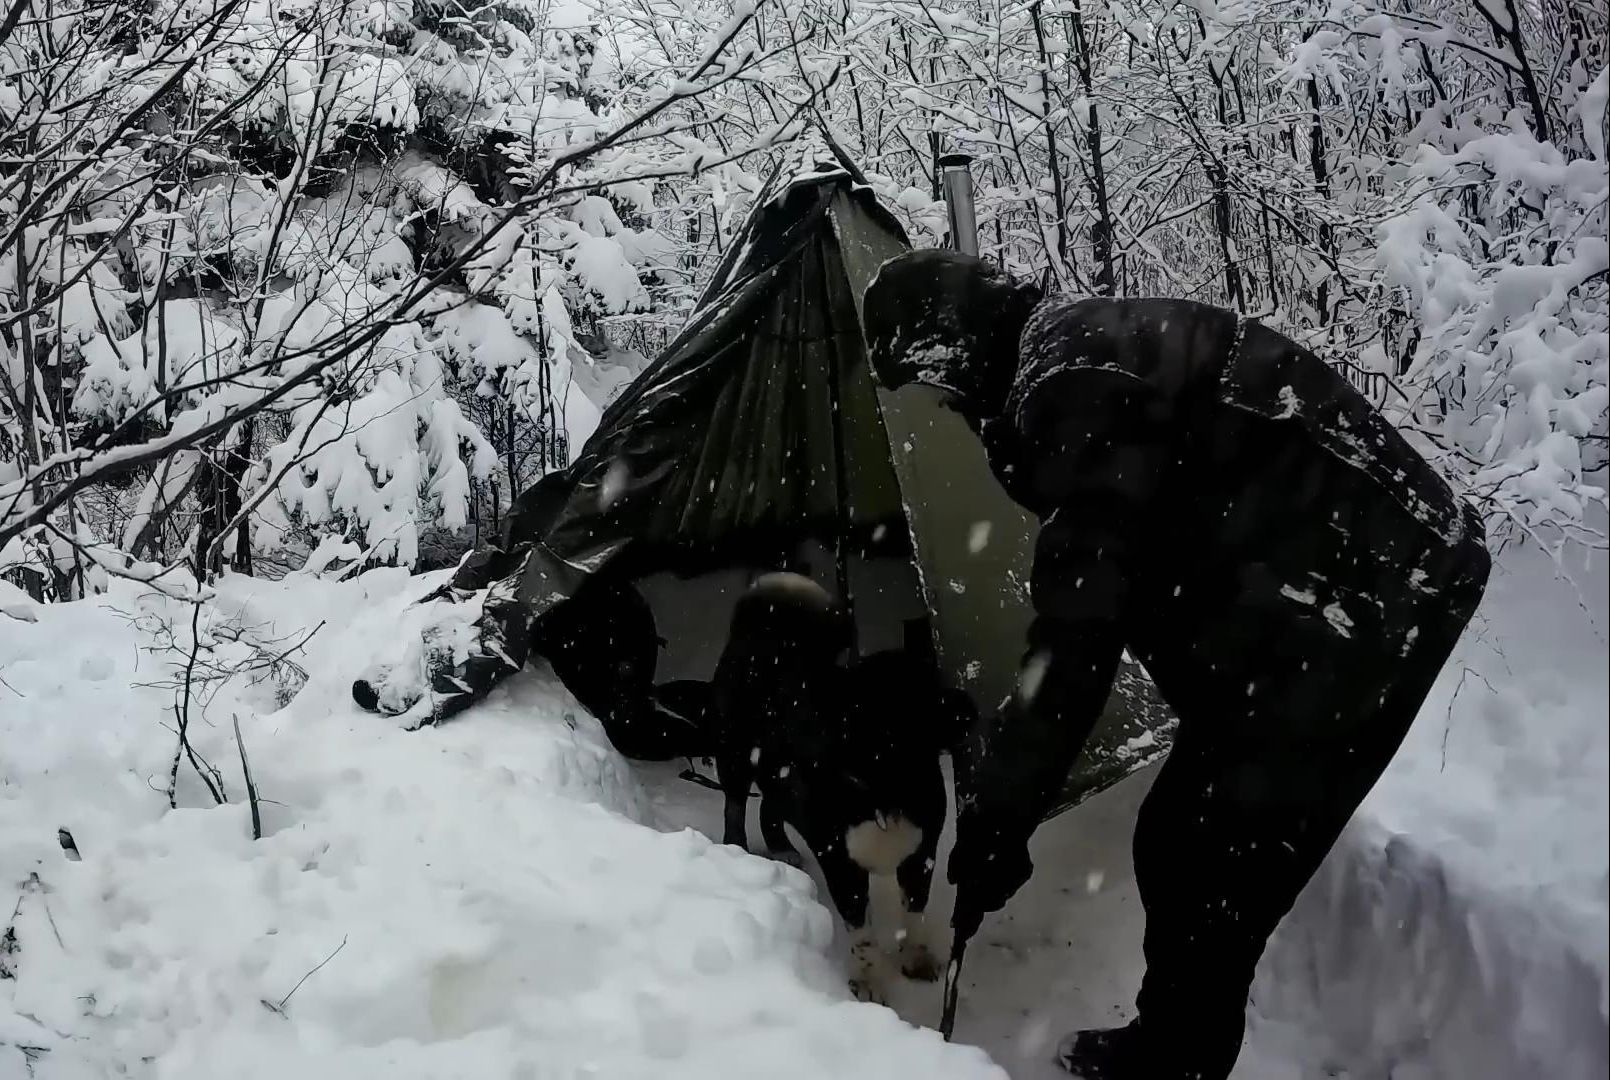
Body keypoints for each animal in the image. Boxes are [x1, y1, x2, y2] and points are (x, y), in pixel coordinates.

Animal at [714, 572, 966, 1004]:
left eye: (932, 684)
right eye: (913, 701)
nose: (968, 706)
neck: (887, 786)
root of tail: (758, 624)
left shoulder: (923, 854)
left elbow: (914, 912)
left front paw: (915, 957)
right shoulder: (842, 865)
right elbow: (862, 934)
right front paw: (867, 982)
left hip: (776, 770)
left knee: (771, 806)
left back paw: (781, 846)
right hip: (735, 757)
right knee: (734, 804)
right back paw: (738, 848)